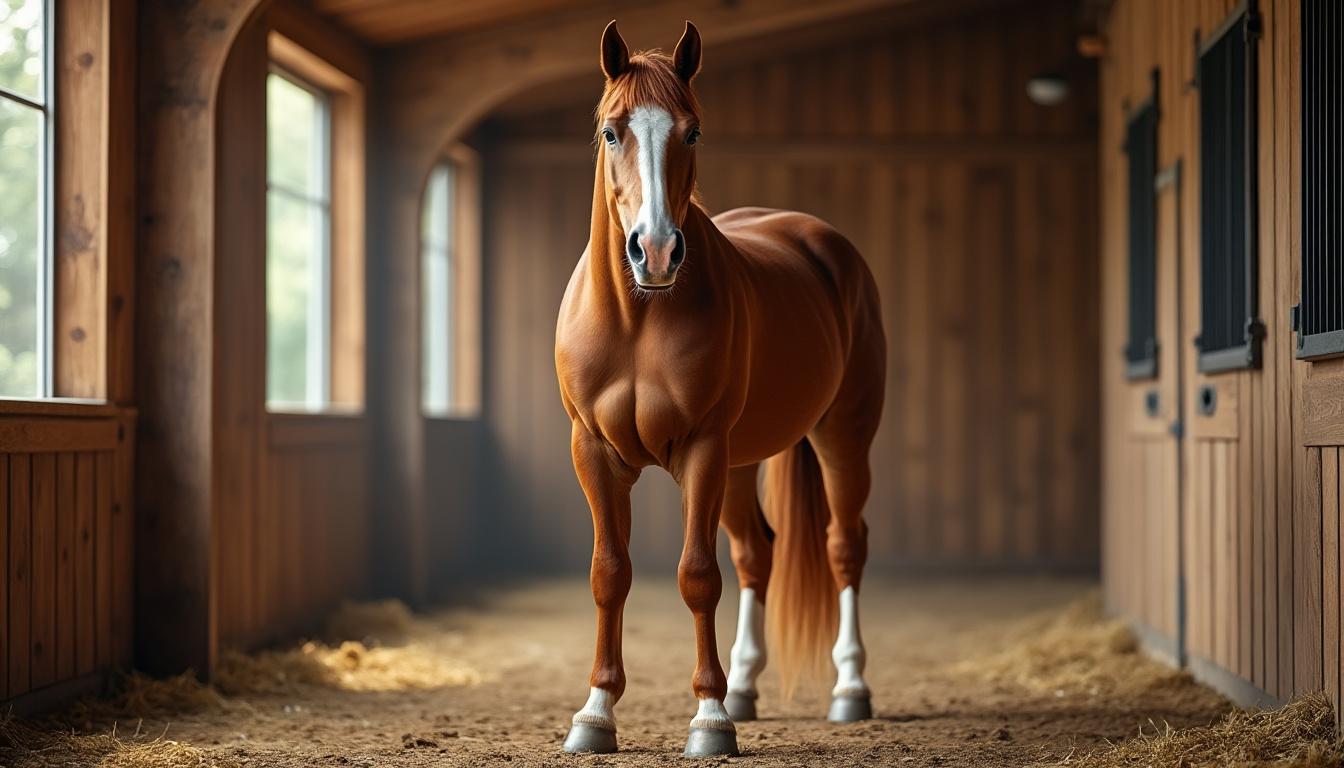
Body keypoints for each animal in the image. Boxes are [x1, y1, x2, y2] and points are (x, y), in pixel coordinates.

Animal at [554, 20, 887, 758]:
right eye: (611, 131)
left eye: (693, 131)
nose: (654, 250)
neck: (639, 317)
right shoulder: (594, 453)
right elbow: (608, 573)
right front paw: (595, 713)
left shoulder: (702, 449)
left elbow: (698, 575)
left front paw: (708, 720)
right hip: (740, 464)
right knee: (757, 553)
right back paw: (745, 685)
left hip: (842, 439)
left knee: (844, 545)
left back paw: (850, 688)